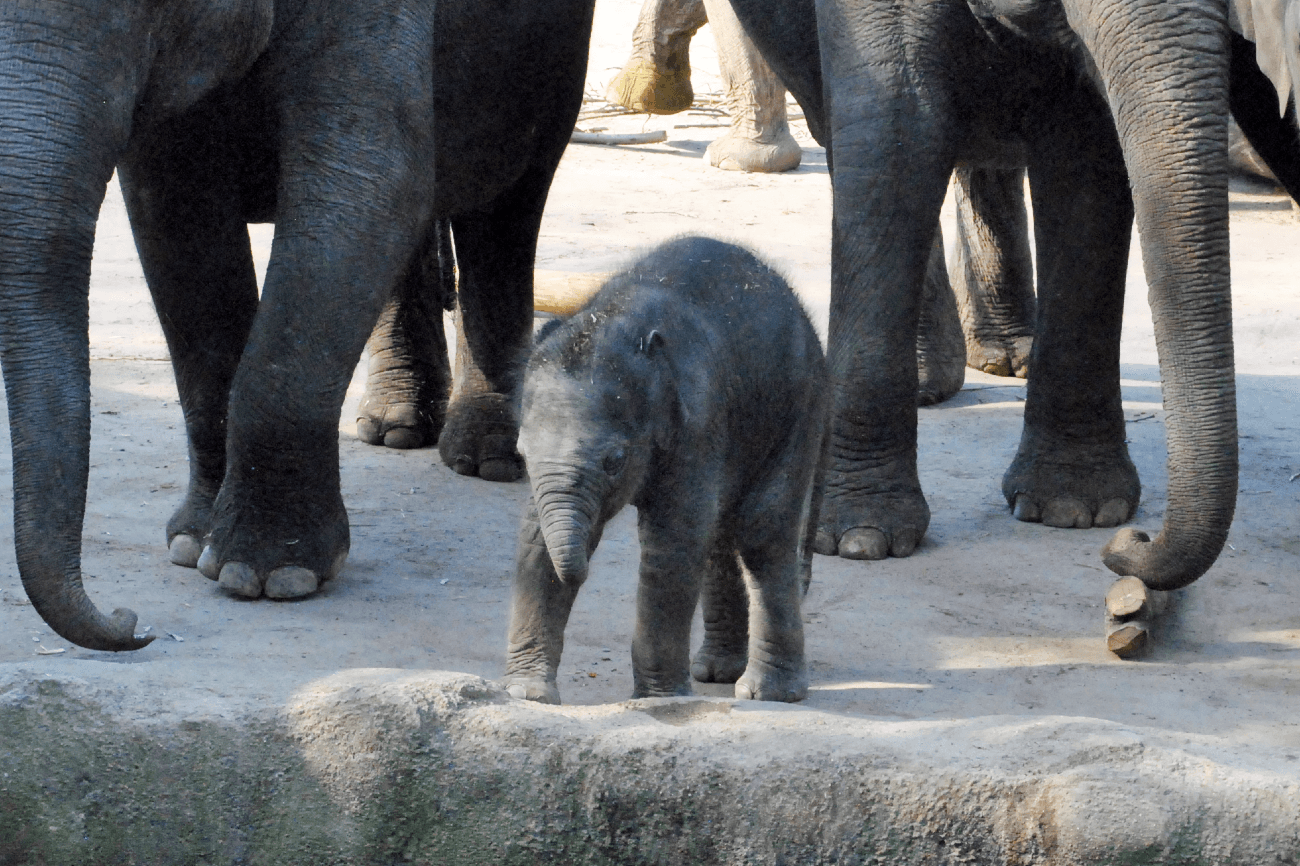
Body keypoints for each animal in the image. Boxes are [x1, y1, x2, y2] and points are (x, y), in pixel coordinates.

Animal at [2, 0, 592, 647]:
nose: (131, 623)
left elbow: (366, 185)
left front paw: (266, 574)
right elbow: (178, 221)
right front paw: (191, 542)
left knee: (508, 204)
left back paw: (486, 460)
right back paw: (396, 428)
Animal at [501, 234, 826, 702]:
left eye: (614, 461)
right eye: (521, 454)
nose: (581, 572)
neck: (616, 320)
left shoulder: (698, 423)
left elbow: (672, 541)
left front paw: (660, 700)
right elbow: (534, 537)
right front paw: (528, 695)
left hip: (797, 407)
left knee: (761, 530)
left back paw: (766, 693)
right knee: (722, 529)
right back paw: (716, 671)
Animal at [722, 0, 1289, 587]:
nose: (1130, 544)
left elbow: (1085, 158)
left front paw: (1076, 509)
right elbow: (897, 132)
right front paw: (858, 539)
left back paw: (1005, 358)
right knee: (851, 138)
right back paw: (930, 385)